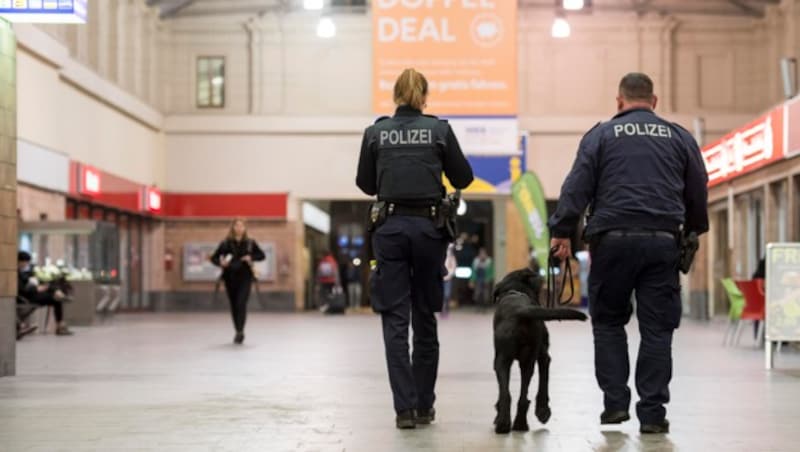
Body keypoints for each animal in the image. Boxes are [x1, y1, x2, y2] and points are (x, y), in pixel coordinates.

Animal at [488, 266, 588, 432]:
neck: (516, 290)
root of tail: (520, 310)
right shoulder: (543, 356)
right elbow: (544, 380)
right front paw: (543, 411)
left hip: (504, 360)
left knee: (508, 395)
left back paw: (507, 423)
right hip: (524, 360)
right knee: (520, 396)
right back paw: (518, 424)